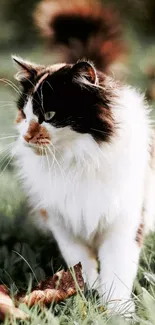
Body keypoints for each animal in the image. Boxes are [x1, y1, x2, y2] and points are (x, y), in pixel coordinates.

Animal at [10, 0, 155, 314]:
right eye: (24, 115)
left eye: (49, 115)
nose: (26, 136)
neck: (77, 159)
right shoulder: (63, 222)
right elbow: (81, 267)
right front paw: (87, 297)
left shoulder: (124, 223)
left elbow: (117, 270)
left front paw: (117, 311)